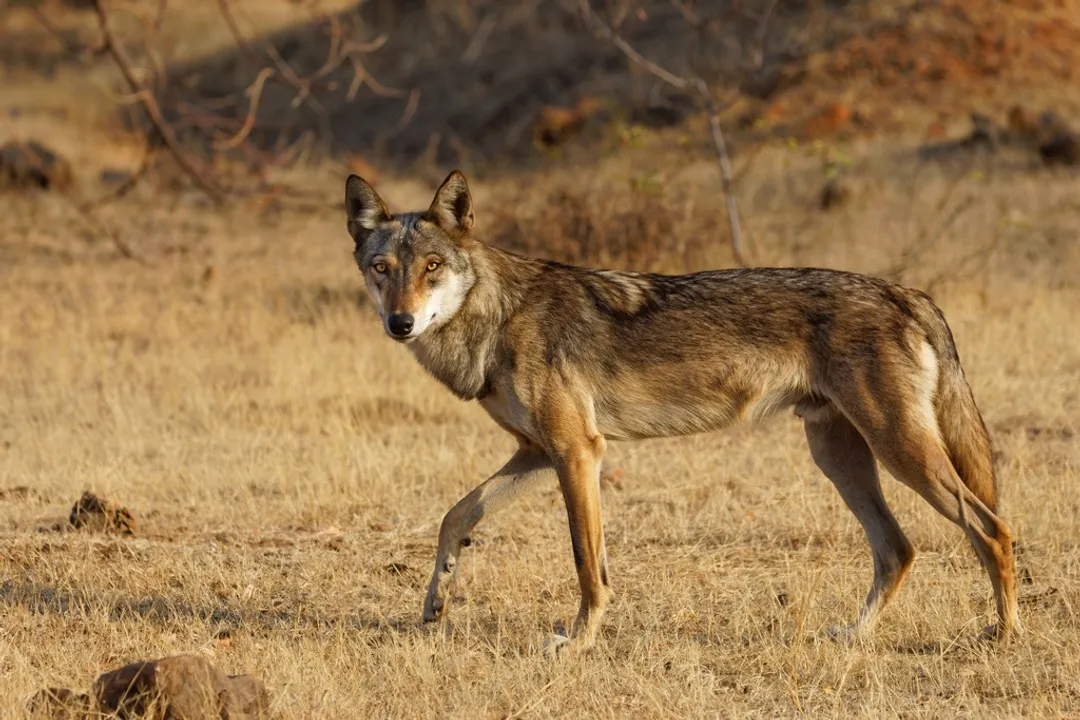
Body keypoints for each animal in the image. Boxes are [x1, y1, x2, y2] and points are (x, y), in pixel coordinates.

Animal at [343, 170, 1020, 654]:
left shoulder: (577, 452)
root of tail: (907, 291)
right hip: (840, 458)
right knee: (898, 548)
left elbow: (587, 564)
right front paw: (435, 601)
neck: (499, 315)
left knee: (991, 528)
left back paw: (1005, 635)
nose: (400, 323)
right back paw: (854, 637)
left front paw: (577, 643)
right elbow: (454, 517)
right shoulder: (539, 453)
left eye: (432, 268)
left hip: (898, 451)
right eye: (382, 269)